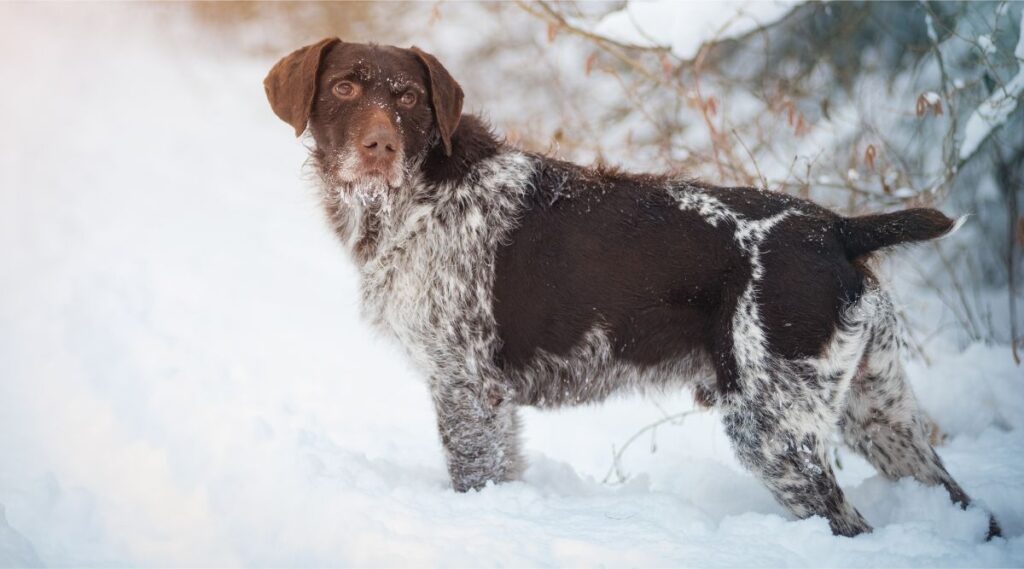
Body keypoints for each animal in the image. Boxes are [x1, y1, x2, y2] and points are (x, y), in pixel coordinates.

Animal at [262, 38, 999, 536]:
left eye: (409, 98)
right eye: (345, 89)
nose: (379, 147)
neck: (413, 197)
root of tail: (837, 229)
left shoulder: (465, 384)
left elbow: (474, 475)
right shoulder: (483, 395)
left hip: (773, 428)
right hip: (879, 414)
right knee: (965, 504)